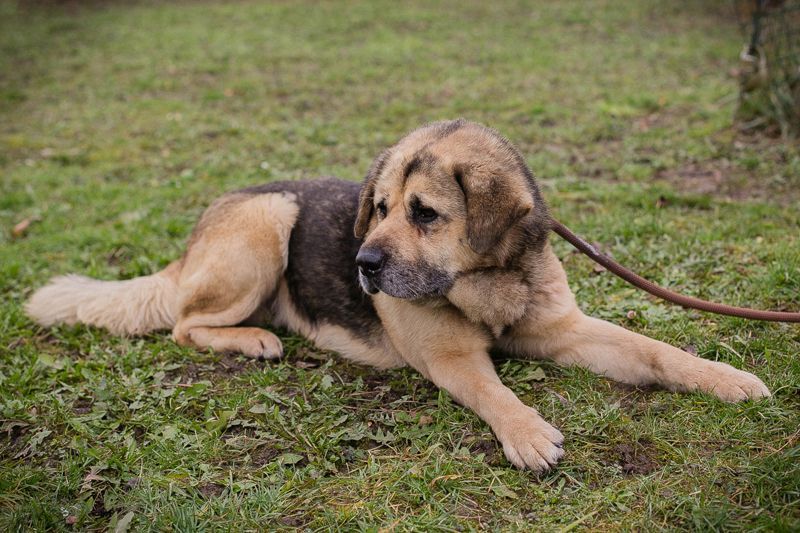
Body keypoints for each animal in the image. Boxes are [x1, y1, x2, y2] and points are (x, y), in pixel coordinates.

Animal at [26, 119, 770, 472]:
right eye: (379, 207)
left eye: (425, 213)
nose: (362, 262)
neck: (484, 282)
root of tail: (190, 245)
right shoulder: (452, 360)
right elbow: (497, 392)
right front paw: (527, 432)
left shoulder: (567, 329)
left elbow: (656, 350)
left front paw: (724, 377)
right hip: (270, 219)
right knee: (184, 322)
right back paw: (256, 337)